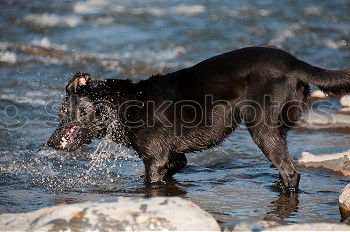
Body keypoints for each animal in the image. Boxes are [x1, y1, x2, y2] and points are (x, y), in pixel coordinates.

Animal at [47, 46, 350, 191]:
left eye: (64, 113)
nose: (49, 142)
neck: (124, 104)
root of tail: (295, 63)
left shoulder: (155, 159)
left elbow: (151, 182)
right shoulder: (175, 158)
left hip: (262, 129)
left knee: (291, 171)